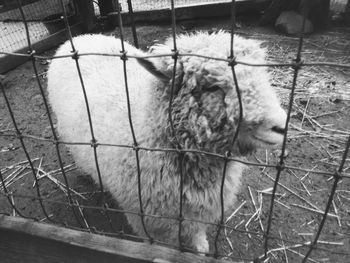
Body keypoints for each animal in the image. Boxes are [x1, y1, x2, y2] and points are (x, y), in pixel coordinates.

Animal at [46, 31, 288, 254]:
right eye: (211, 87)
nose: (281, 125)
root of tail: (78, 37)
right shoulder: (151, 221)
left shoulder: (198, 211)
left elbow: (197, 233)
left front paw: (201, 248)